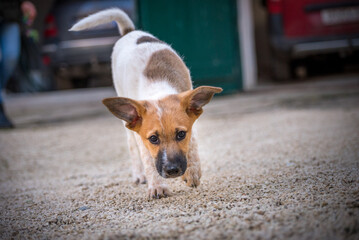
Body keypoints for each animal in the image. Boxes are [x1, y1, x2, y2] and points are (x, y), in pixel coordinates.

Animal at [70, 8, 222, 198]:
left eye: (181, 135)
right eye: (153, 139)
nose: (172, 170)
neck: (158, 89)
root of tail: (130, 31)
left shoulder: (190, 124)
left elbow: (192, 144)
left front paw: (192, 172)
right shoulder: (141, 137)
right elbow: (148, 160)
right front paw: (157, 186)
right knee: (132, 147)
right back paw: (139, 175)